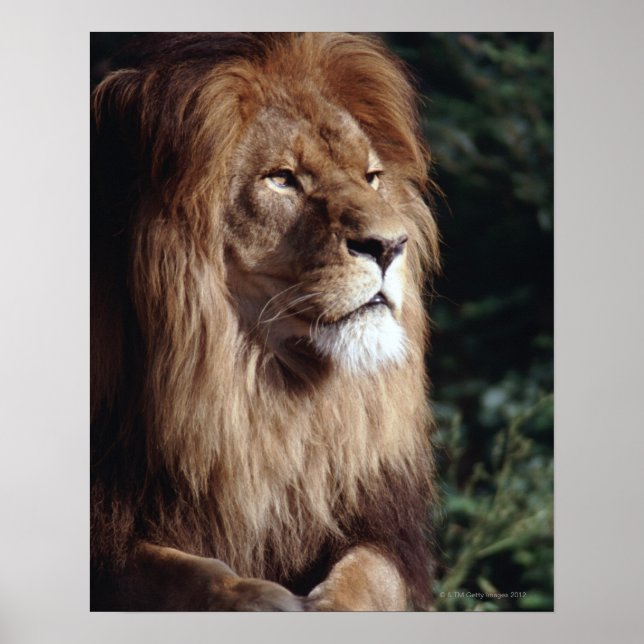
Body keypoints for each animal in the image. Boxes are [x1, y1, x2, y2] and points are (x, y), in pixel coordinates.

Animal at [90, 32, 440, 611]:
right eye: (282, 179)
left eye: (371, 178)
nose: (392, 246)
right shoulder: (112, 536)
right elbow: (190, 574)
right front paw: (261, 600)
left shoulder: (382, 531)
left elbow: (369, 575)